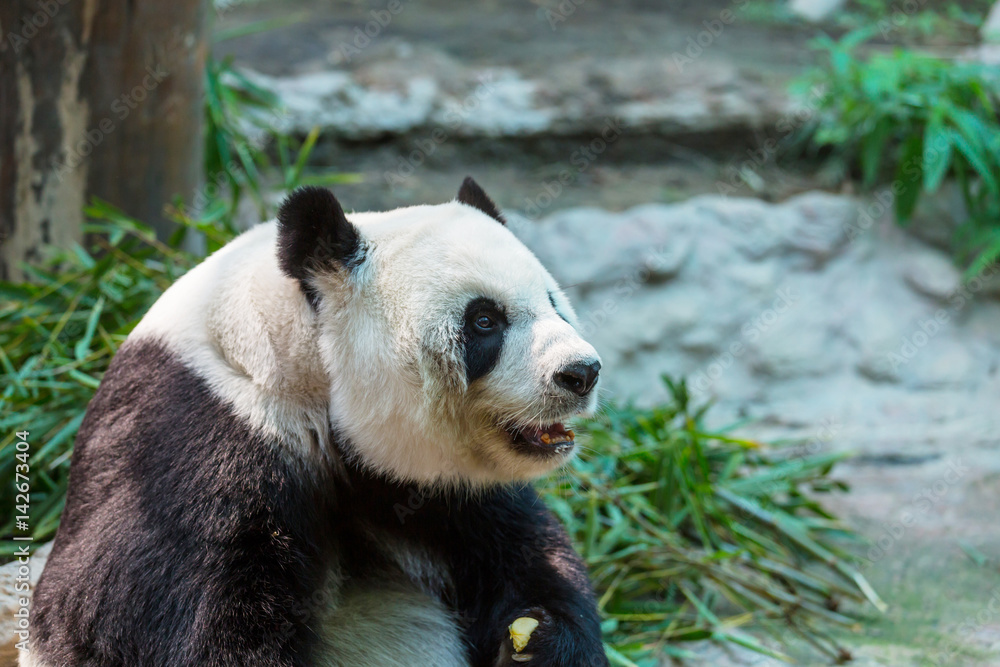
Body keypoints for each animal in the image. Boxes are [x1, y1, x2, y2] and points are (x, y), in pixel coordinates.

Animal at [25, 178, 608, 667]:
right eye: (484, 320)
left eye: (554, 303)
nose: (581, 372)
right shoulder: (195, 456)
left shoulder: (434, 489)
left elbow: (530, 555)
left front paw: (536, 640)